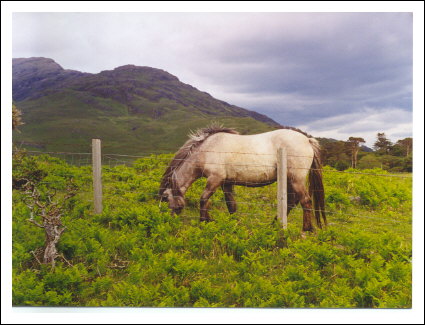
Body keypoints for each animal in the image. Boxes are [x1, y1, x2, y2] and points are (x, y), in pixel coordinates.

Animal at [157, 124, 326, 230]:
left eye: (165, 198)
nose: (167, 222)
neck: (206, 150)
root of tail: (307, 140)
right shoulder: (226, 183)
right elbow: (231, 205)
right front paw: (234, 225)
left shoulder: (215, 179)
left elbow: (204, 199)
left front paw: (203, 222)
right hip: (289, 180)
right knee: (292, 201)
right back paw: (273, 225)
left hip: (296, 179)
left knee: (305, 201)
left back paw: (306, 229)